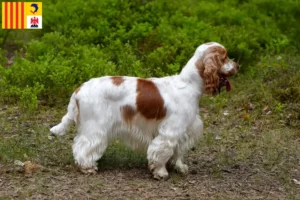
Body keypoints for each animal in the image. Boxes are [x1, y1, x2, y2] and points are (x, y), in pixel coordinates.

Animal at [50, 42, 238, 180]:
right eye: (225, 57)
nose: (237, 65)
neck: (189, 84)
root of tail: (79, 89)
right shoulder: (170, 131)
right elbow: (161, 151)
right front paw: (160, 172)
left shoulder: (183, 130)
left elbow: (177, 151)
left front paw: (179, 167)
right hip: (95, 127)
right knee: (82, 146)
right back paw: (87, 167)